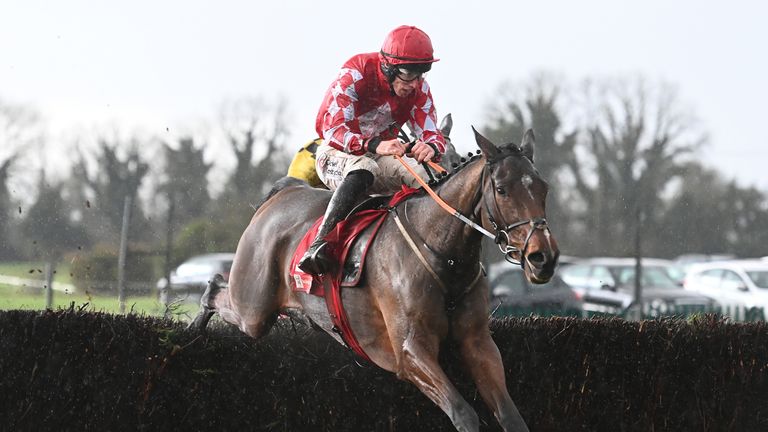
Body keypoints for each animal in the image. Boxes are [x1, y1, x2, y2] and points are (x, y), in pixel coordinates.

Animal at [189, 126, 560, 430]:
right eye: (501, 189)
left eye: (544, 188)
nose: (543, 257)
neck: (442, 253)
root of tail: (284, 192)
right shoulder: (409, 352)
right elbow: (464, 414)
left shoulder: (478, 342)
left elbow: (511, 416)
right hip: (254, 305)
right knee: (218, 291)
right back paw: (195, 325)